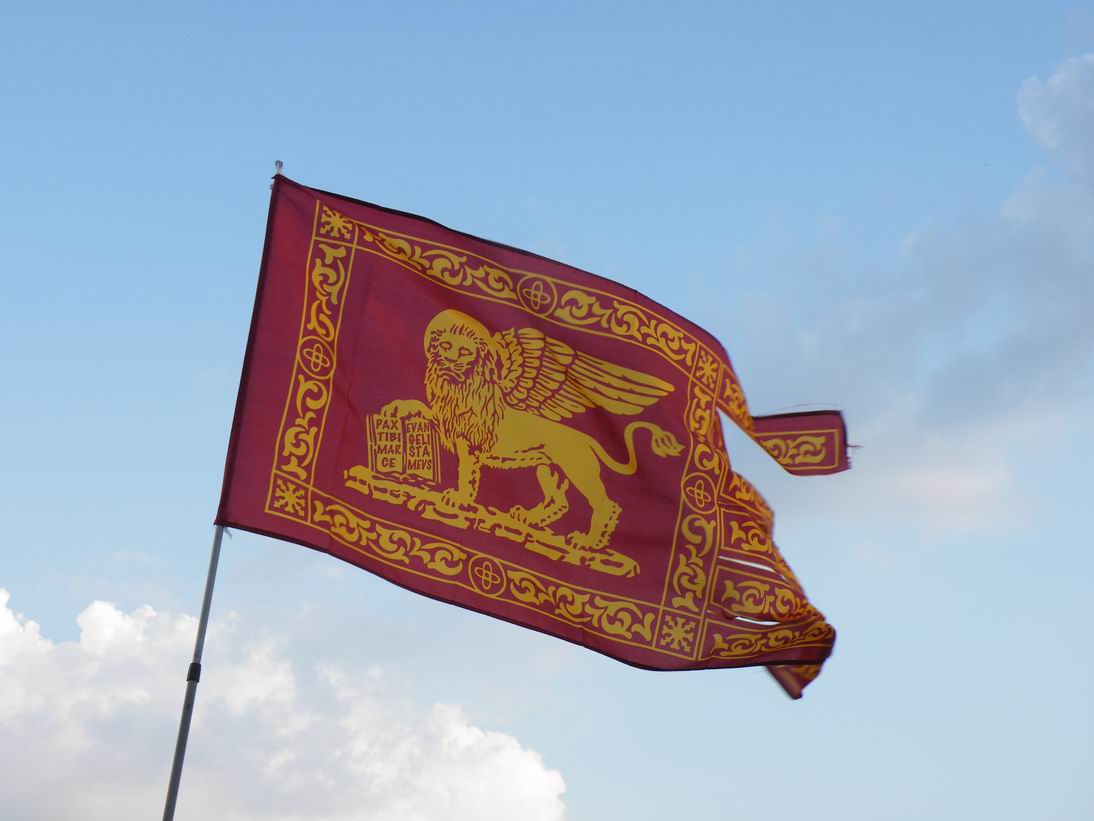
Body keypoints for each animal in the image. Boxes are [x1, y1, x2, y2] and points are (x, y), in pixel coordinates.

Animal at [381, 309, 683, 550]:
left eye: (466, 352)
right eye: (445, 345)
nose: (449, 363)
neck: (459, 389)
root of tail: (587, 439)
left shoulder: (471, 443)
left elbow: (466, 473)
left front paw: (458, 498)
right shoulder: (449, 424)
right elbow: (422, 408)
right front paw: (398, 407)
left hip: (580, 471)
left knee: (605, 504)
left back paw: (588, 542)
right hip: (548, 468)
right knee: (560, 502)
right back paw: (528, 518)